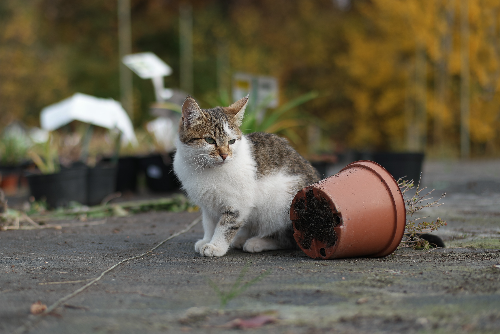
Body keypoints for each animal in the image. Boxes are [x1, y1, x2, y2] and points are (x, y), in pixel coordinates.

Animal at [173, 95, 320, 258]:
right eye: (209, 140)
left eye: (231, 141)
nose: (224, 155)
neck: (207, 170)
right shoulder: (208, 204)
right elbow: (209, 223)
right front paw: (207, 240)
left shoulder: (238, 203)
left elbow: (225, 226)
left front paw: (216, 246)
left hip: (283, 203)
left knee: (288, 239)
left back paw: (258, 242)